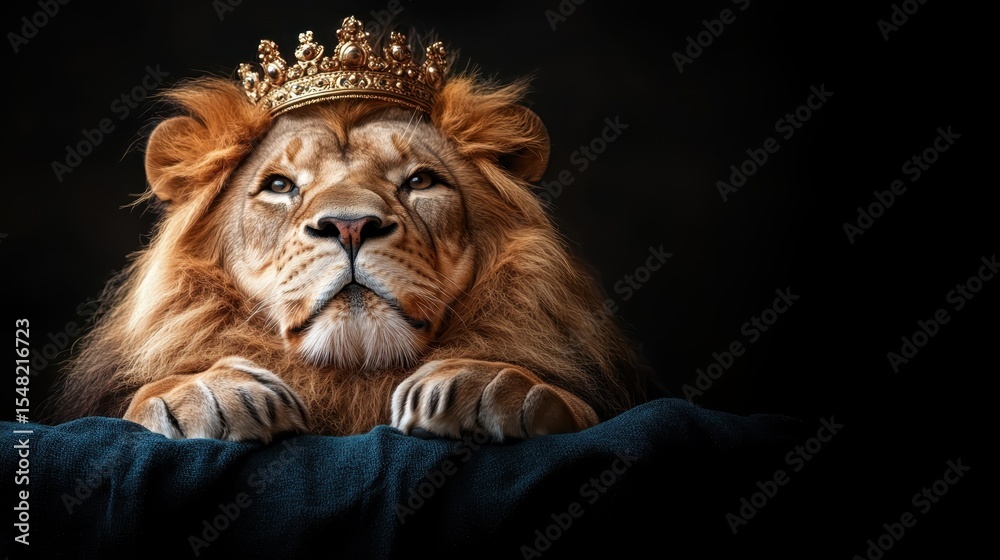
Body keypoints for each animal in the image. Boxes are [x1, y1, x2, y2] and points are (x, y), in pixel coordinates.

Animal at [50, 20, 646, 443]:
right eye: (280, 185)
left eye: (420, 181)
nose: (351, 225)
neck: (352, 376)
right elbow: (135, 405)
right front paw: (209, 393)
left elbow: (580, 406)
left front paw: (485, 384)